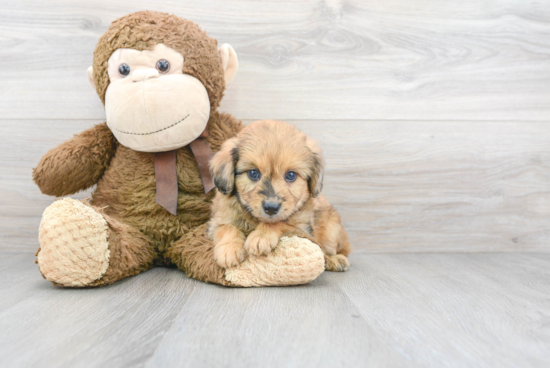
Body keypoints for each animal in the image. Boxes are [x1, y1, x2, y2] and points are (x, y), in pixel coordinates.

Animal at [209, 119, 352, 272]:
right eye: (253, 173)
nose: (271, 208)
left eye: (291, 175)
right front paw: (229, 248)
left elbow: (280, 222)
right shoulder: (218, 220)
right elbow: (226, 227)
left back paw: (335, 259)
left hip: (331, 233)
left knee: (329, 251)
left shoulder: (301, 228)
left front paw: (261, 236)